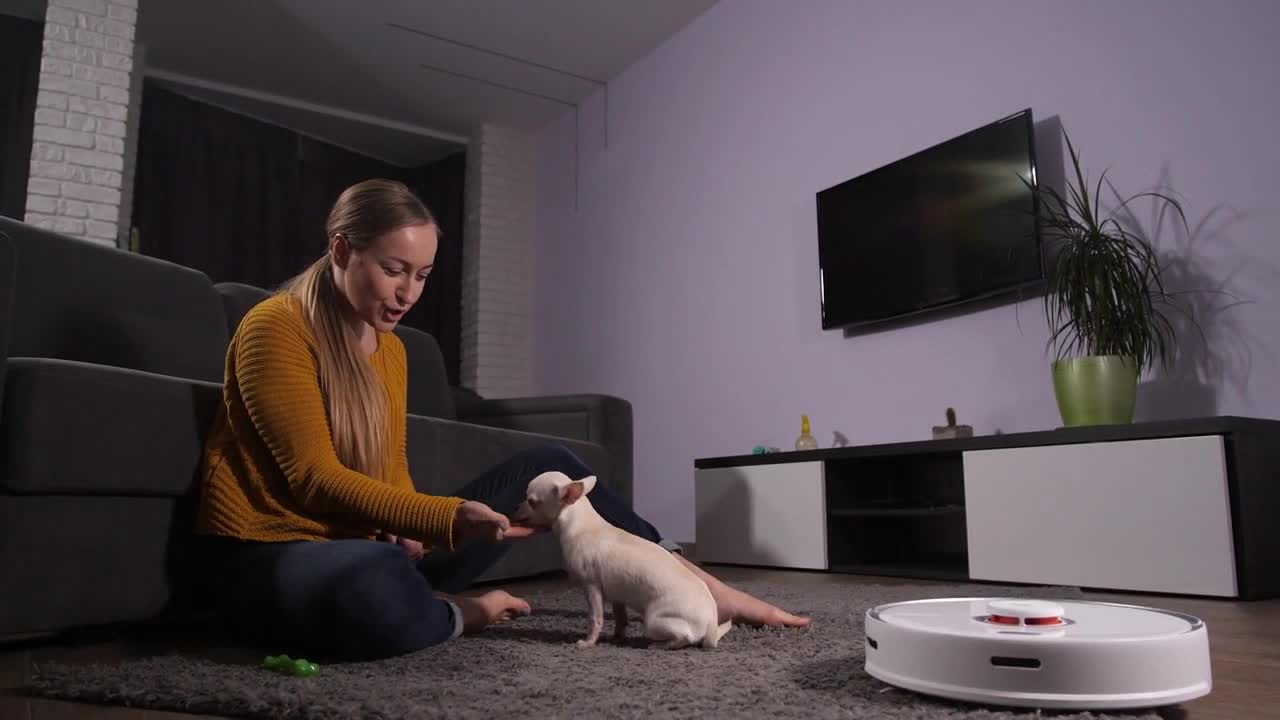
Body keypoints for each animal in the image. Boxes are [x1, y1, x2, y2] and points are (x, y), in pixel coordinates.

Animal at [509, 468, 732, 648]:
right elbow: (620, 618)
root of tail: (711, 622)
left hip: (654, 622)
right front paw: (617, 637)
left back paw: (659, 645)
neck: (578, 523)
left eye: (531, 501)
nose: (515, 506)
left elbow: (595, 619)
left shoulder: (591, 588)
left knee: (684, 638)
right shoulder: (616, 596)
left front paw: (588, 643)